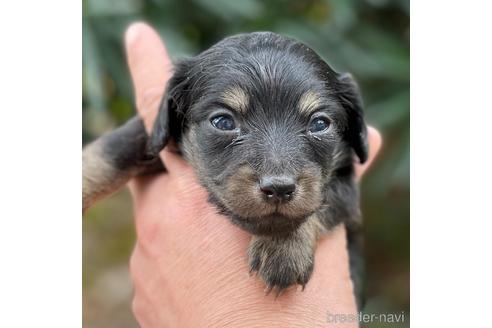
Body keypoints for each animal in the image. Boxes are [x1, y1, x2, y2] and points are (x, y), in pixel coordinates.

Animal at [84, 31, 368, 304]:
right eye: (223, 122)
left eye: (319, 124)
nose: (279, 189)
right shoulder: (150, 134)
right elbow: (111, 152)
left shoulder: (346, 187)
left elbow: (318, 204)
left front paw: (283, 248)